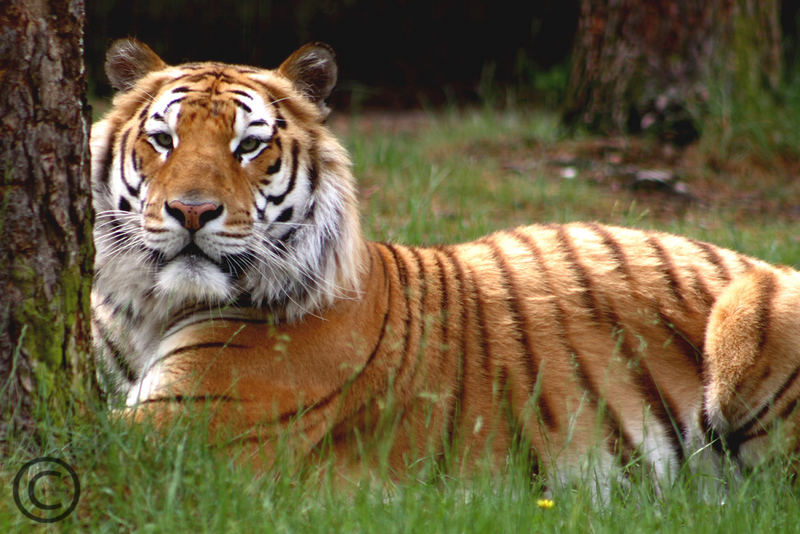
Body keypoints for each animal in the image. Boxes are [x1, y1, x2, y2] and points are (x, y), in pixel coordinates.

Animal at [90, 37, 800, 486]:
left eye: (248, 147)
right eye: (163, 139)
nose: (191, 212)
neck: (149, 308)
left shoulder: (179, 431)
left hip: (746, 316)